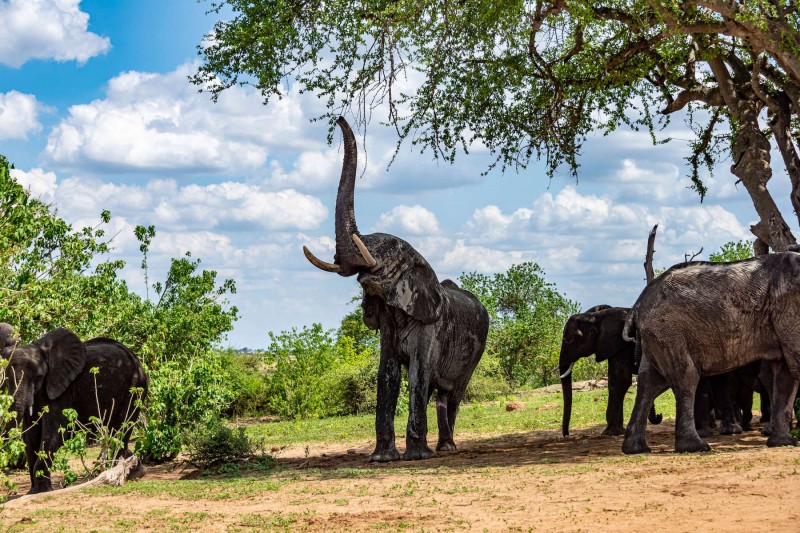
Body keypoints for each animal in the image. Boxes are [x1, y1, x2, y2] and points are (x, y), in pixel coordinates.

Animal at [3, 328, 147, 494]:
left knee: (121, 430)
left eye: (39, 377)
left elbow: (54, 434)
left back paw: (121, 471)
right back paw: (134, 469)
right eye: (6, 378)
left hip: (135, 388)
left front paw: (41, 491)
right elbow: (29, 437)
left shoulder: (63, 390)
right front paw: (32, 492)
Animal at [304, 117, 488, 462]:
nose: (338, 117)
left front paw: (416, 457)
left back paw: (446, 448)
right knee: (437, 393)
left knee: (453, 393)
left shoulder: (431, 326)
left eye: (387, 251)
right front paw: (381, 459)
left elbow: (417, 374)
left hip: (476, 351)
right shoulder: (388, 322)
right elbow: (386, 375)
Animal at [556, 304, 664, 436]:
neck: (595, 317)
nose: (567, 435)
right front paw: (619, 431)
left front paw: (610, 432)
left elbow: (620, 381)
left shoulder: (623, 343)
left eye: (570, 340)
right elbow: (614, 380)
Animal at [620, 254, 800, 454]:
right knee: (686, 377)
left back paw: (636, 449)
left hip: (657, 335)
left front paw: (783, 442)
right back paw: (695, 447)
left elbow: (786, 375)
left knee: (650, 382)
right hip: (668, 332)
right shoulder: (790, 309)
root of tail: (637, 305)